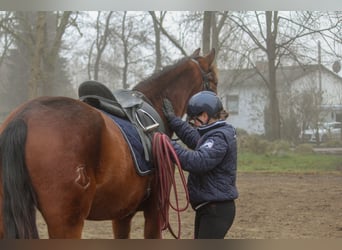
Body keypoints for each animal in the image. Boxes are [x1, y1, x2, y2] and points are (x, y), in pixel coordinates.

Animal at [0, 48, 218, 238]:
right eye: (214, 81)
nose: (222, 111)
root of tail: (24, 116)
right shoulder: (154, 212)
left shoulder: (122, 215)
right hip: (67, 223)